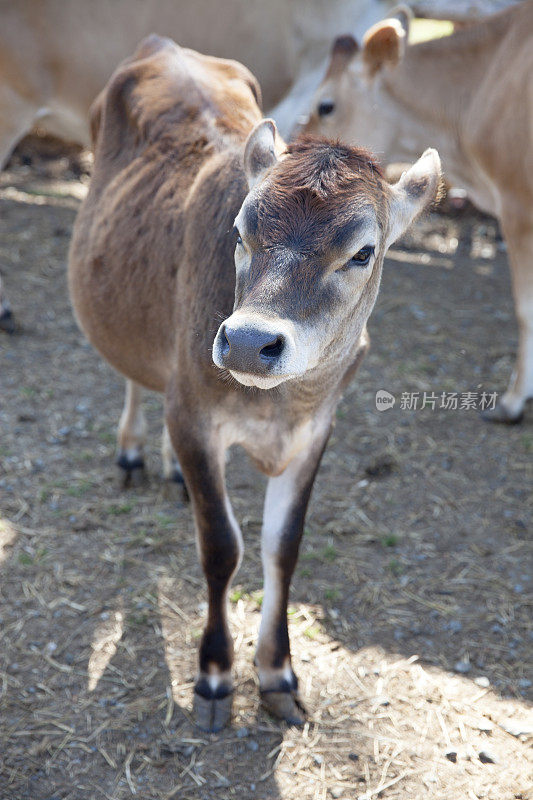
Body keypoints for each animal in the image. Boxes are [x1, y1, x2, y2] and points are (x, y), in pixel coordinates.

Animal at [68, 34, 438, 728]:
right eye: (240, 232)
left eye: (363, 251)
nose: (245, 341)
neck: (279, 408)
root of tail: (164, 45)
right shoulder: (193, 417)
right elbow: (221, 546)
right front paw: (215, 675)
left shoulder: (317, 432)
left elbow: (281, 547)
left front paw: (276, 672)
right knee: (135, 375)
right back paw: (133, 453)